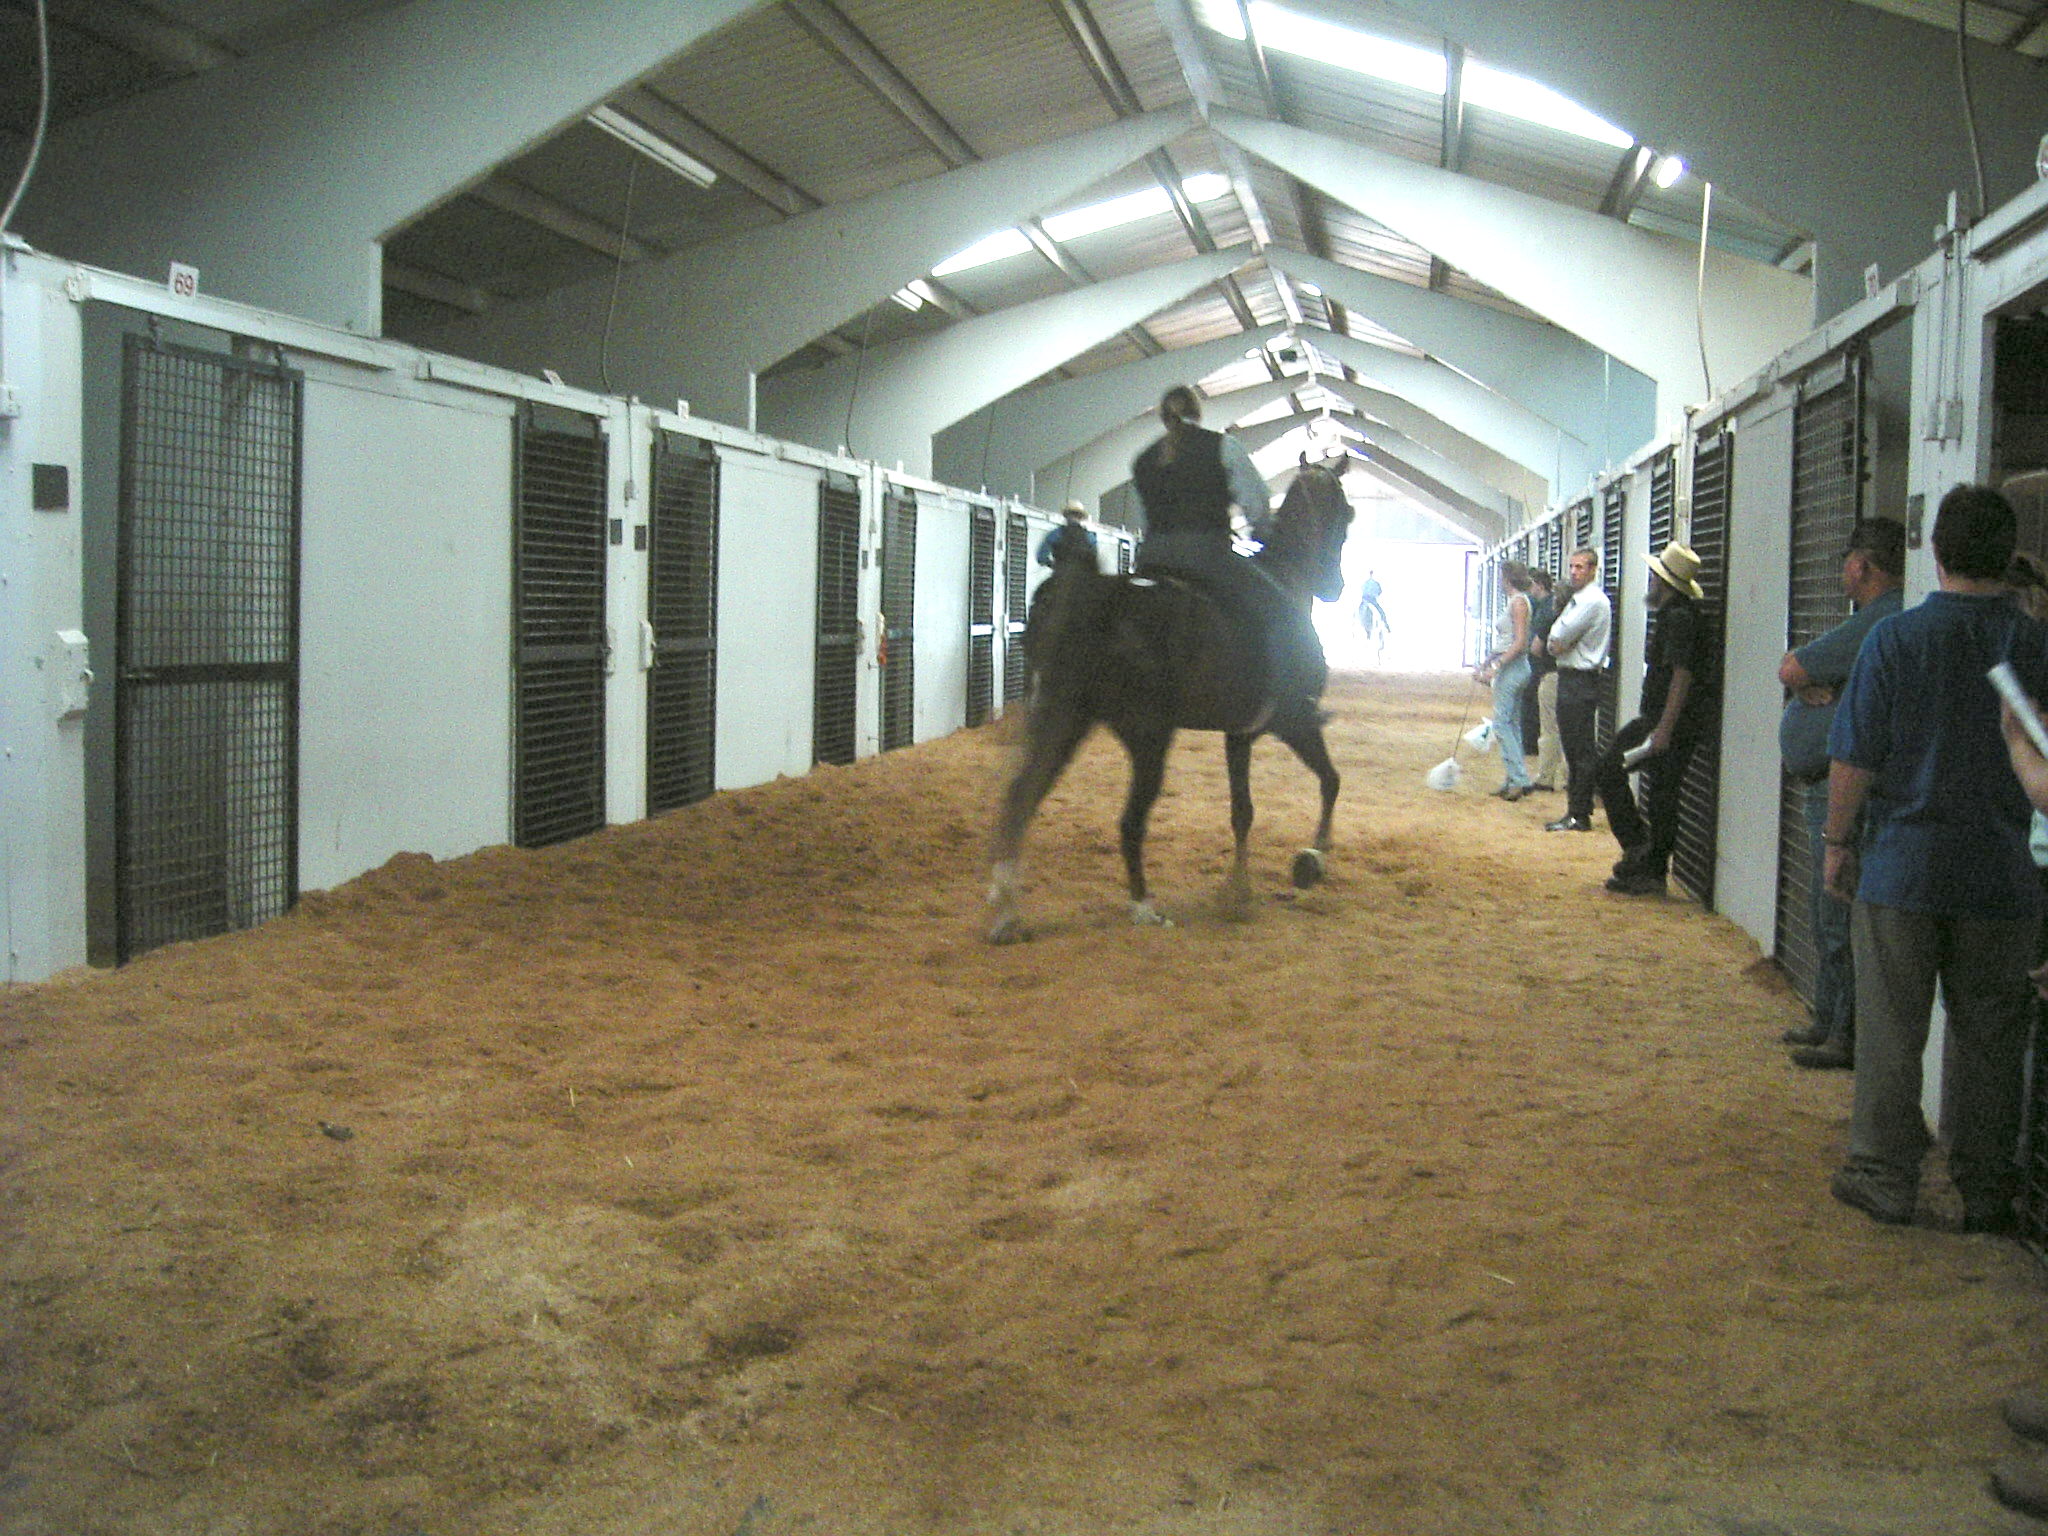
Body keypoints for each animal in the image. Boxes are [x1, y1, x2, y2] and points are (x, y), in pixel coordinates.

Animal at [986, 456, 1354, 943]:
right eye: (1346, 514)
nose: (1334, 586)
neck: (1285, 580)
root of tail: (1099, 598)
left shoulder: (1240, 735)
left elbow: (1243, 812)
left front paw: (1238, 891)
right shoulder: (1295, 721)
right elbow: (1331, 781)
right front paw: (1314, 857)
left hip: (1066, 720)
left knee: (1022, 796)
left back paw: (1006, 913)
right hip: (1148, 738)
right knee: (1128, 822)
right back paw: (1144, 908)